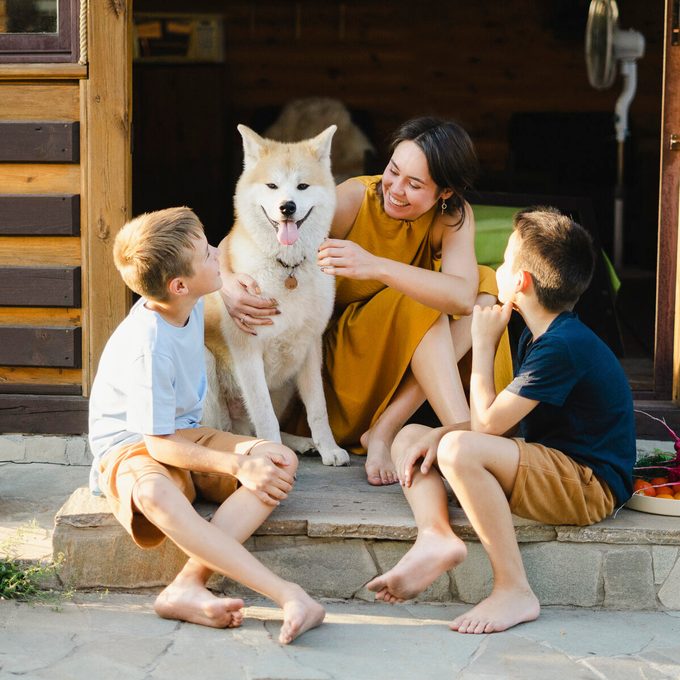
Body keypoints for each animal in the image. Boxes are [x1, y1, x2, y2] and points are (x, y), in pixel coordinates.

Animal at [202, 123, 350, 468]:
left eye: (302, 186)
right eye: (272, 185)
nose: (287, 207)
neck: (286, 268)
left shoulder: (309, 348)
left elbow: (318, 410)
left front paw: (328, 448)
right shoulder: (248, 352)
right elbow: (264, 415)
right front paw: (272, 451)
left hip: (286, 378)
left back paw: (299, 443)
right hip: (207, 367)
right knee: (221, 430)